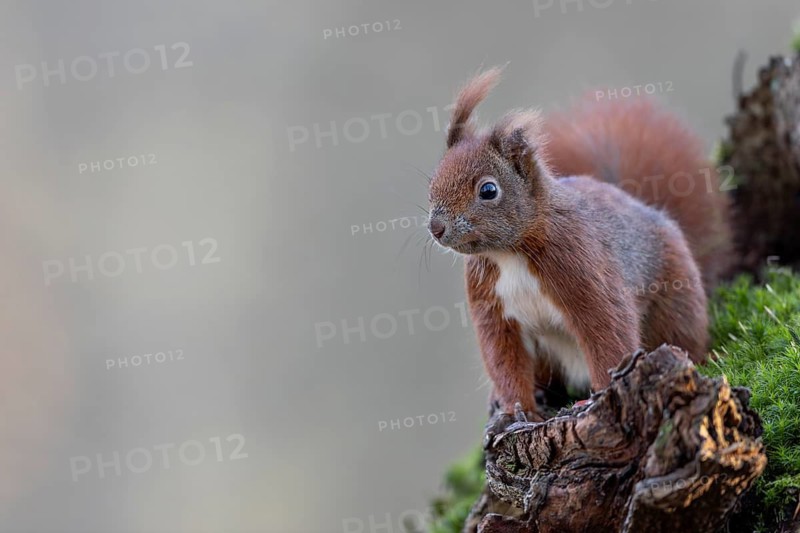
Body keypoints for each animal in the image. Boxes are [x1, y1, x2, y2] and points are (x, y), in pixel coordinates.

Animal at [426, 67, 733, 434]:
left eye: (488, 190)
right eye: (432, 182)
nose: (436, 228)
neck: (510, 253)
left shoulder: (582, 267)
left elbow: (607, 332)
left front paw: (595, 400)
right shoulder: (491, 305)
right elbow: (503, 357)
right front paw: (516, 412)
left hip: (675, 305)